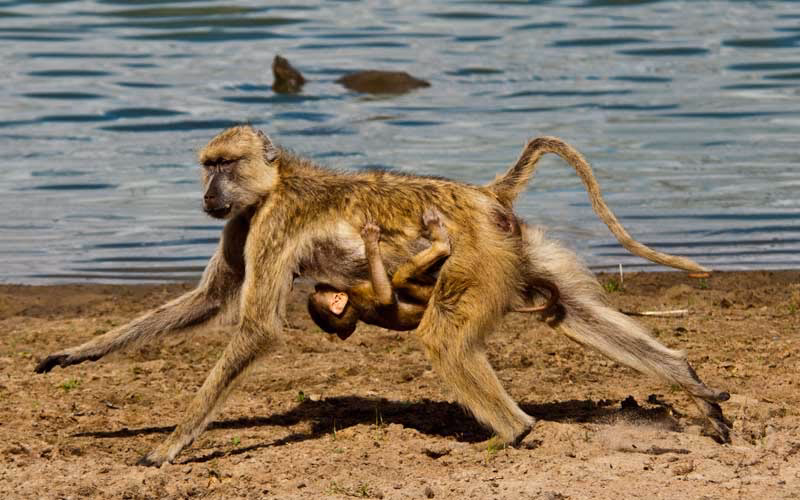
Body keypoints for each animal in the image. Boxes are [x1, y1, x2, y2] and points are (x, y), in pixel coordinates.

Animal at [35, 126, 728, 466]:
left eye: (224, 165)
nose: (208, 195)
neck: (276, 182)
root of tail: (484, 195)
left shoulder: (270, 220)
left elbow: (255, 328)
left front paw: (171, 446)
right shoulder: (243, 223)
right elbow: (210, 300)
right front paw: (75, 355)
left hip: (477, 258)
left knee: (446, 340)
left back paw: (510, 434)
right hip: (514, 252)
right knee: (571, 311)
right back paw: (688, 381)